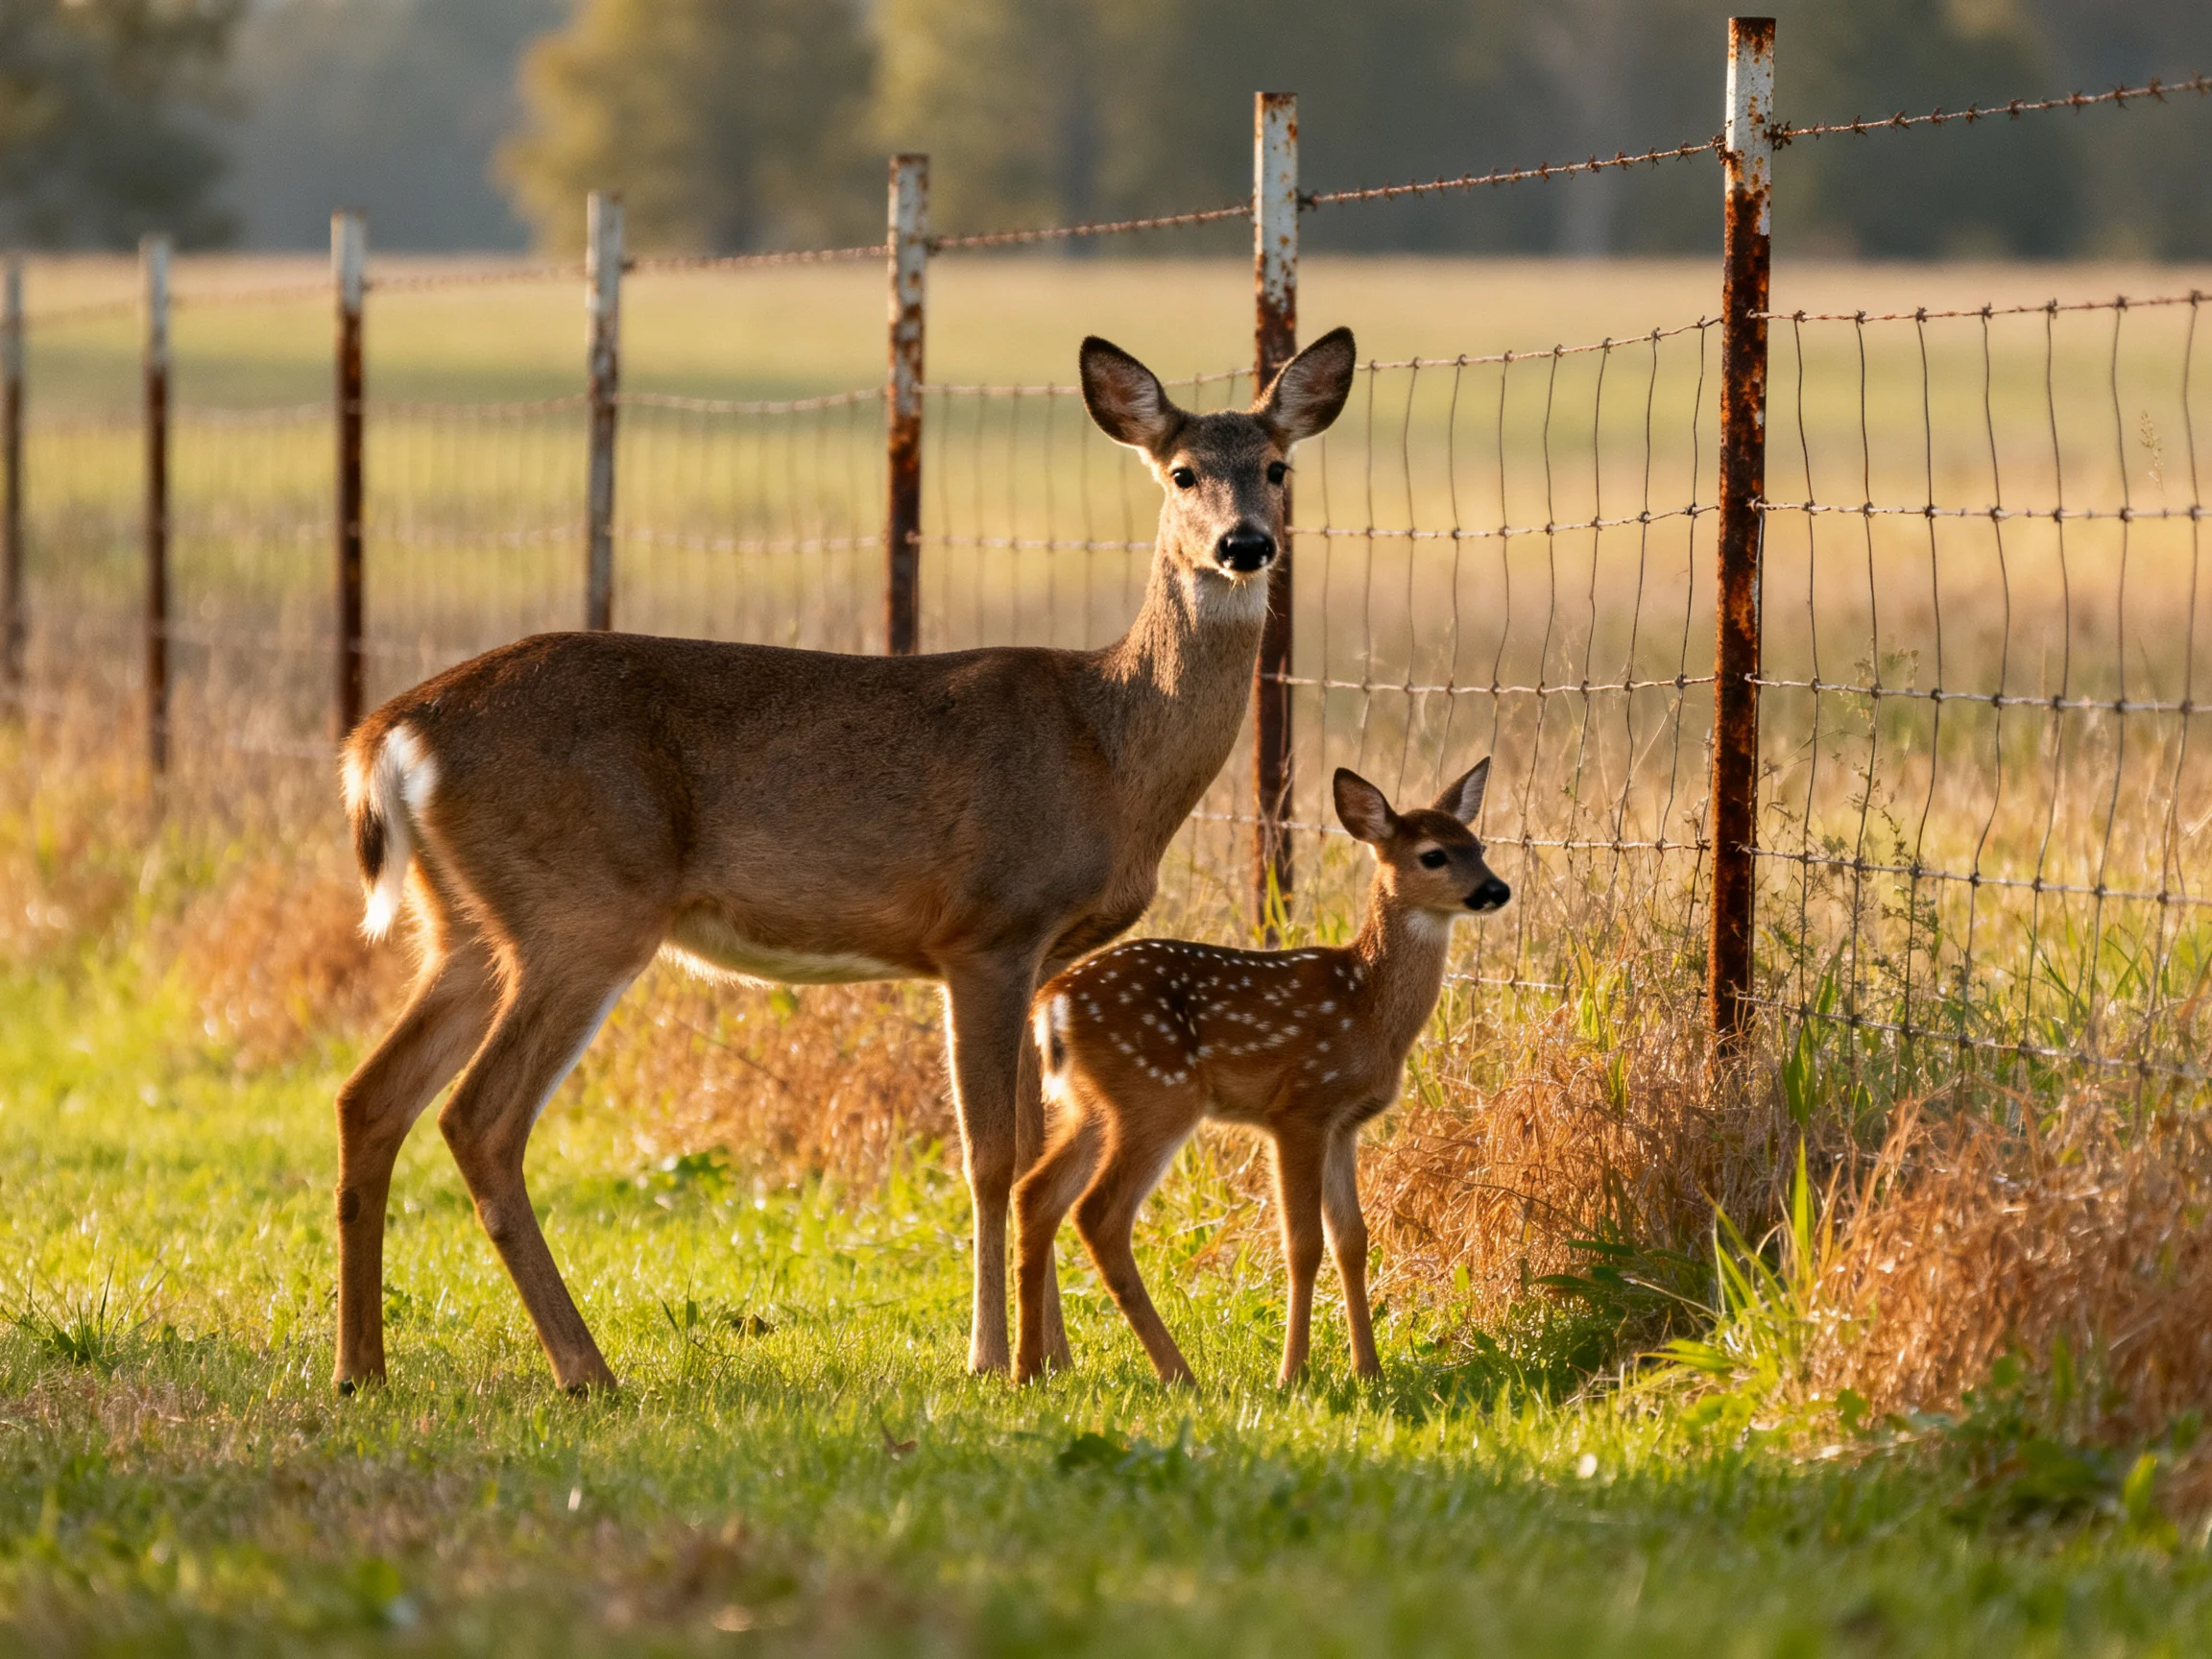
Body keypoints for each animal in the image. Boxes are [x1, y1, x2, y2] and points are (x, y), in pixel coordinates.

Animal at [328, 325, 1358, 1395]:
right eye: (1183, 470)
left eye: (1277, 467)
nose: (1246, 544)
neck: (1109, 744)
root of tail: (390, 733)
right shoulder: (988, 930)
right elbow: (994, 1155)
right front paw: (992, 1356)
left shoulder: (1041, 956)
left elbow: (1037, 1146)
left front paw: (1054, 1357)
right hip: (583, 911)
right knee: (478, 1119)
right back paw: (584, 1369)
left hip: (468, 923)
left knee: (370, 1098)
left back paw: (362, 1366)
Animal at [1011, 760, 1510, 1388]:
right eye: (1434, 855)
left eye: (1480, 845)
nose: (1497, 890)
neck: (1367, 1004)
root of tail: (1051, 1004)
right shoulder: (1299, 1107)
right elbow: (1303, 1244)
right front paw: (1292, 1374)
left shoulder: (1344, 1123)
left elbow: (1353, 1240)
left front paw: (1367, 1370)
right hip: (1157, 1095)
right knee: (1099, 1214)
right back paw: (1179, 1373)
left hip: (1093, 1104)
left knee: (1036, 1194)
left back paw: (1028, 1369)